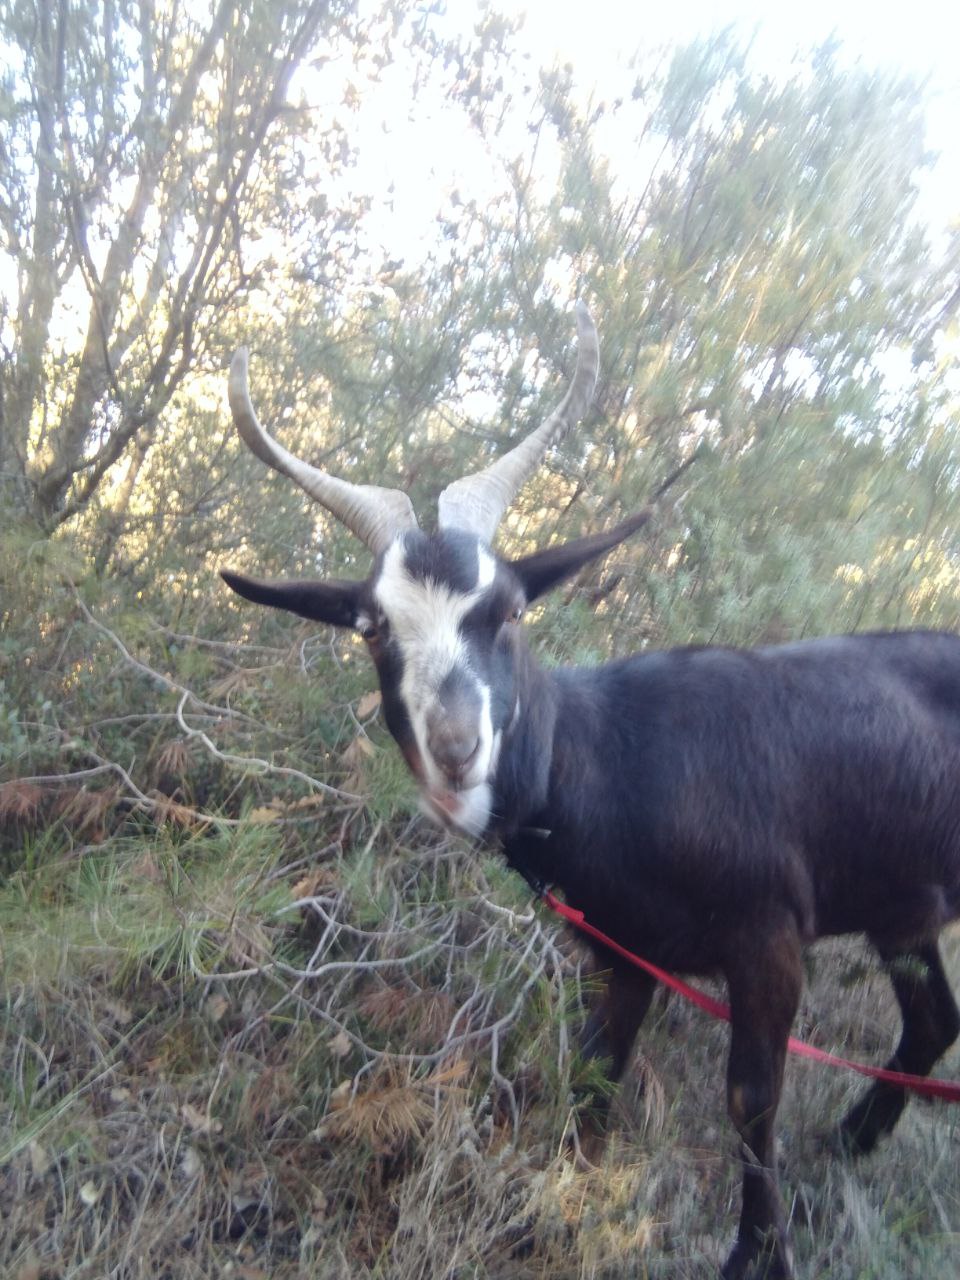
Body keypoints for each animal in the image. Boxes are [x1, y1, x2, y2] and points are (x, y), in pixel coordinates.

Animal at [221, 305, 960, 1280]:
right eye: (373, 628)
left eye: (509, 611)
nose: (456, 750)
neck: (612, 760)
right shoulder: (625, 950)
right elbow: (597, 1069)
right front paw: (555, 1210)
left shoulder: (767, 934)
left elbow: (750, 1096)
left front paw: (757, 1254)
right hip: (900, 905)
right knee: (934, 1018)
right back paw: (852, 1141)